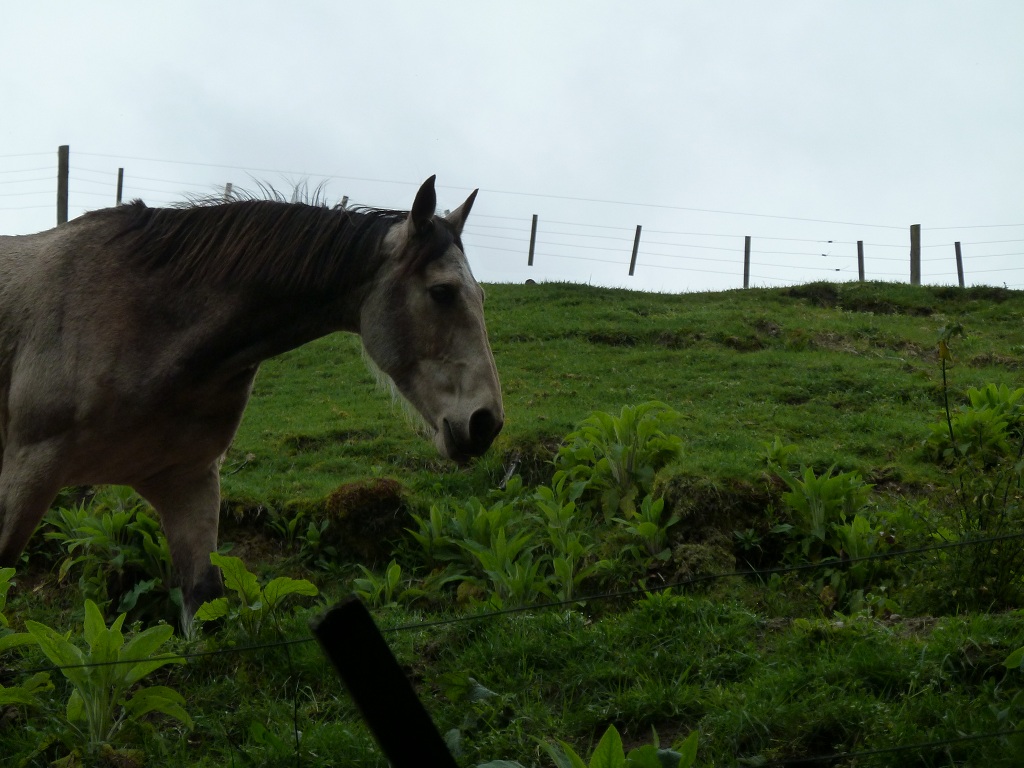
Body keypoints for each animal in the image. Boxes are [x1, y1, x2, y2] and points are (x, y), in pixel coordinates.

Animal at [0, 176, 503, 623]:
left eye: (480, 295)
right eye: (442, 292)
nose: (486, 422)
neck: (139, 315)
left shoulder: (187, 479)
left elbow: (206, 602)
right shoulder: (27, 470)